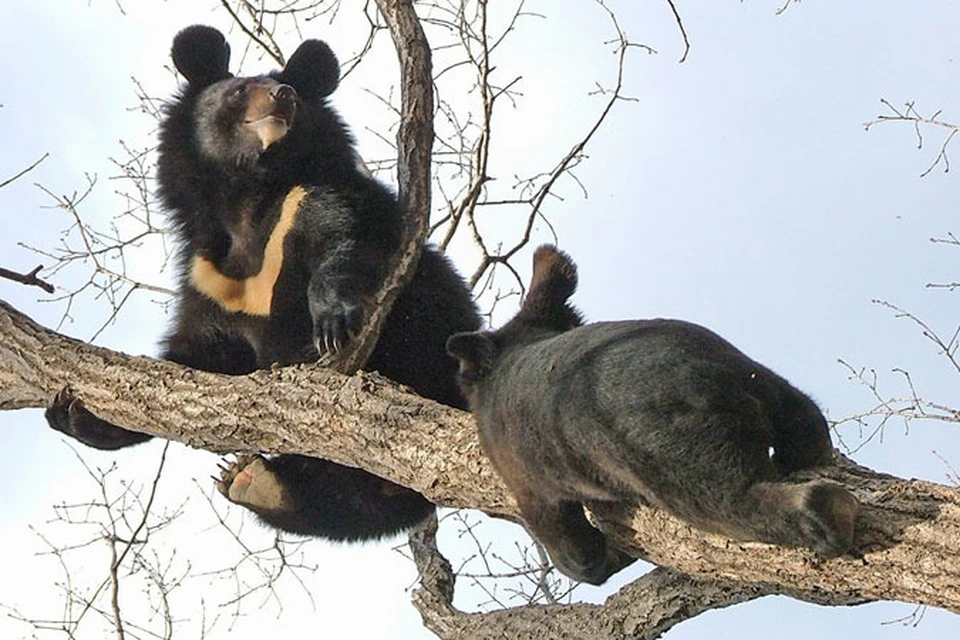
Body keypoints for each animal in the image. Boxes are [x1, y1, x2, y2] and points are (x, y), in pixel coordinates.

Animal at [45, 27, 480, 544]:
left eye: (292, 94)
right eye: (239, 91)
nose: (283, 96)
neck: (248, 199)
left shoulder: (313, 198)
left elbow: (346, 241)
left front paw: (332, 324)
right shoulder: (208, 279)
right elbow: (199, 359)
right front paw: (77, 415)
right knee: (342, 503)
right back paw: (254, 481)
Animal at [446, 246, 860, 584]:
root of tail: (710, 375)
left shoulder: (533, 490)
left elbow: (578, 557)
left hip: (677, 464)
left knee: (743, 502)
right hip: (768, 384)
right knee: (806, 426)